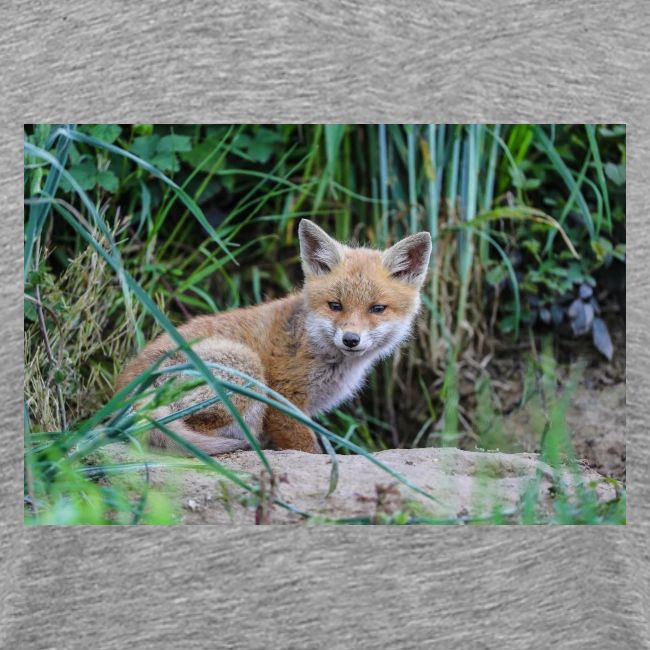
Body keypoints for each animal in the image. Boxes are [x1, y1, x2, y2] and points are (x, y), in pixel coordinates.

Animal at [116, 219, 432, 455]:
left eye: (377, 309)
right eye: (335, 305)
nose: (351, 339)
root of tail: (124, 396)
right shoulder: (284, 401)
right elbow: (308, 449)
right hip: (246, 368)